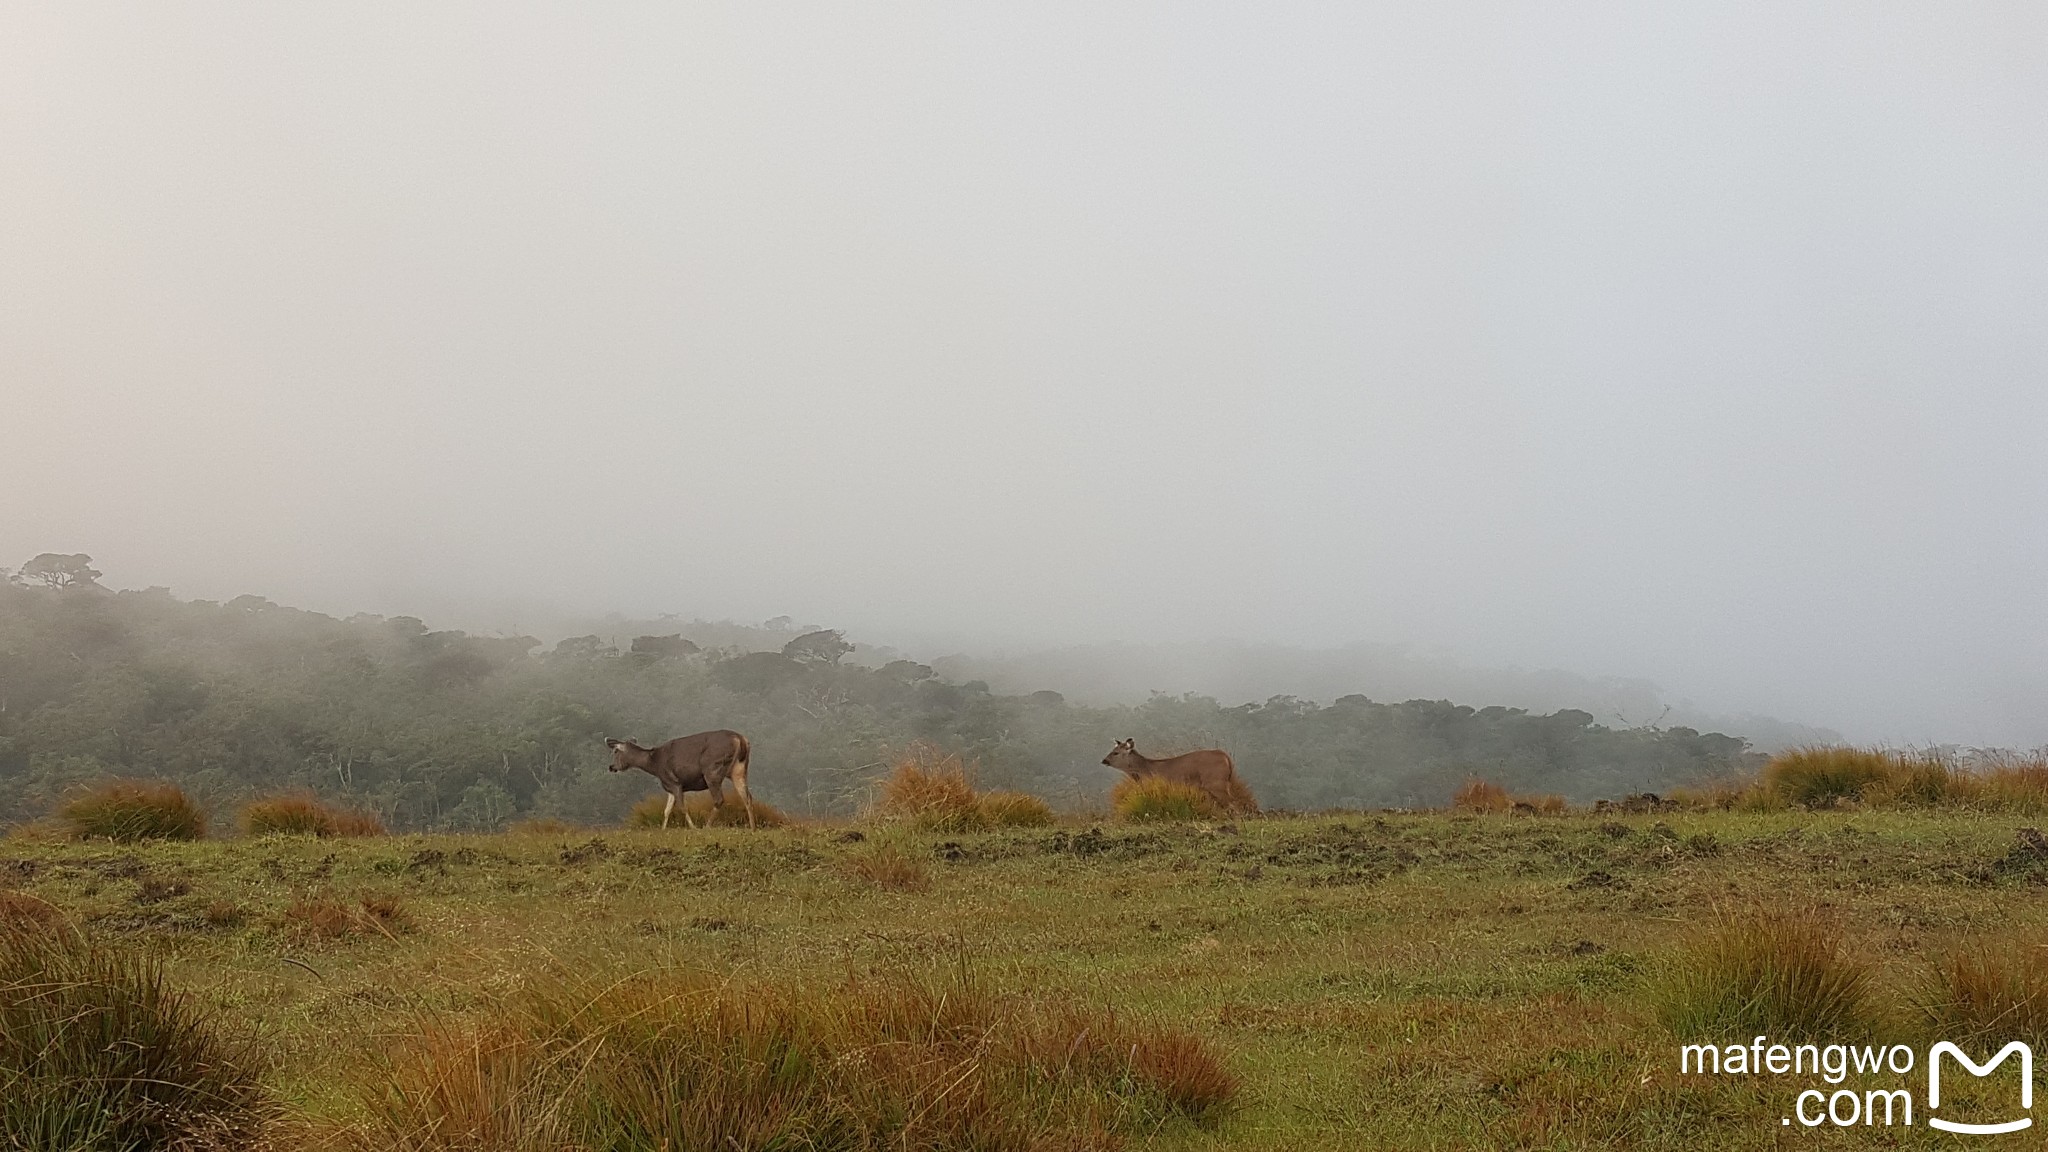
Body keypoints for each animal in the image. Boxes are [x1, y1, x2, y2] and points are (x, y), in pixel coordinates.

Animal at [602, 725, 757, 824]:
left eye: (615, 751)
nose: (611, 767)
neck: (654, 765)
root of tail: (741, 739)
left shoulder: (674, 782)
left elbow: (682, 808)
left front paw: (693, 828)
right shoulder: (670, 787)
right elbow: (666, 810)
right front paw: (663, 830)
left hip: (712, 769)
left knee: (719, 799)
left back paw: (706, 827)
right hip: (739, 769)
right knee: (747, 797)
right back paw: (752, 828)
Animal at [1097, 733, 1253, 807]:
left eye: (1116, 752)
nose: (1104, 760)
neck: (1143, 771)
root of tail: (1225, 756)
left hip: (1216, 783)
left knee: (1233, 802)